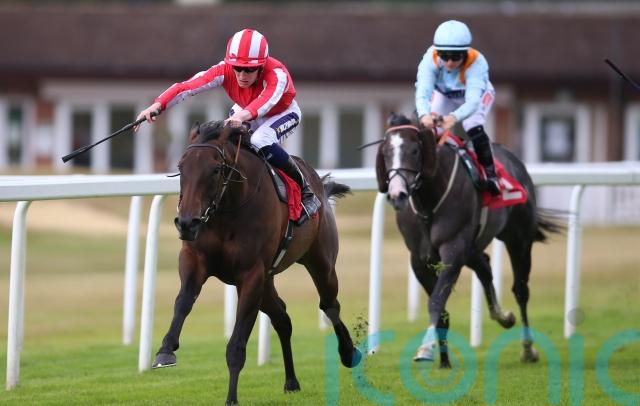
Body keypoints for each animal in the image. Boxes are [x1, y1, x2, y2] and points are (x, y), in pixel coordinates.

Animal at [153, 120, 362, 405]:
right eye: (181, 167)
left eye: (216, 169)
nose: (186, 222)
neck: (227, 211)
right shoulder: (194, 259)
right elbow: (183, 301)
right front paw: (166, 350)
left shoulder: (251, 275)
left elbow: (237, 345)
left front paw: (231, 398)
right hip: (267, 283)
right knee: (283, 318)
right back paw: (291, 381)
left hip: (321, 263)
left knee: (330, 305)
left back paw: (348, 352)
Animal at [375, 112, 561, 368]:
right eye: (385, 152)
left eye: (414, 150)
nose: (397, 194)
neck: (429, 202)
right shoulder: (419, 260)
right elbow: (442, 309)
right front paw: (444, 361)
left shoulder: (453, 251)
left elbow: (436, 301)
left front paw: (426, 349)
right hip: (472, 248)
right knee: (484, 266)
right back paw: (502, 316)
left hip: (518, 239)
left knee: (521, 290)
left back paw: (527, 348)